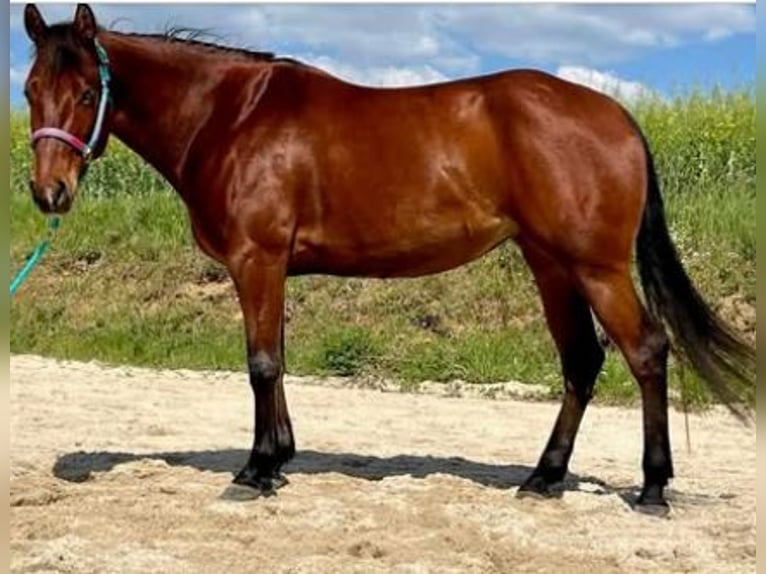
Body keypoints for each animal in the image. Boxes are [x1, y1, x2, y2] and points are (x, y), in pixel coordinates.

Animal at [22, 3, 754, 515]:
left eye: (86, 93)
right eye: (29, 89)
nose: (48, 192)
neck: (231, 115)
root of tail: (617, 116)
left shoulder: (256, 260)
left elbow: (261, 364)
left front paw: (254, 471)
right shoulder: (271, 268)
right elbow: (277, 360)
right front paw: (279, 458)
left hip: (597, 268)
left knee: (646, 351)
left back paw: (652, 488)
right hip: (551, 265)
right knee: (582, 361)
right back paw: (544, 477)